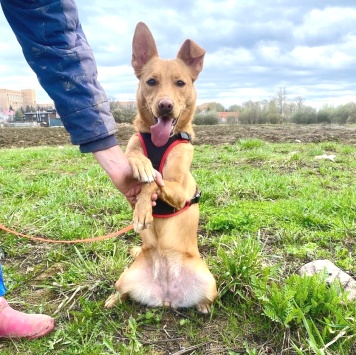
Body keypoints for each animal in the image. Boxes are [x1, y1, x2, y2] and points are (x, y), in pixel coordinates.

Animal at [104, 22, 217, 314]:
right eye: (151, 81)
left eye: (180, 83)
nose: (165, 106)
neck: (160, 143)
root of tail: (166, 296)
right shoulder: (132, 156)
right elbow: (135, 157)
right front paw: (142, 165)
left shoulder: (177, 190)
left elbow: (155, 181)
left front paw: (144, 209)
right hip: (126, 276)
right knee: (122, 292)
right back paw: (112, 299)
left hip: (209, 281)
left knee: (207, 299)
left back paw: (203, 307)